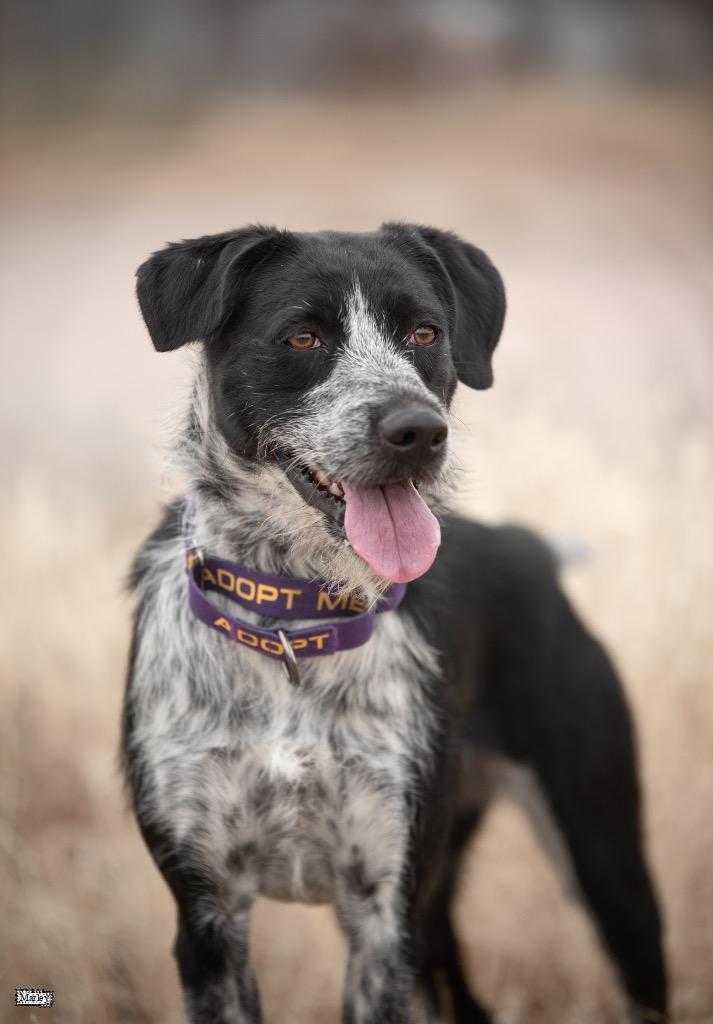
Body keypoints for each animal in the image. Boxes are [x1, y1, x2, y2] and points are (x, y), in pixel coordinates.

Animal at [123, 226, 667, 1024]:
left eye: (424, 333)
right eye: (303, 336)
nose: (418, 431)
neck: (296, 619)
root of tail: (527, 546)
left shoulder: (386, 909)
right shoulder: (206, 917)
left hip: (602, 854)